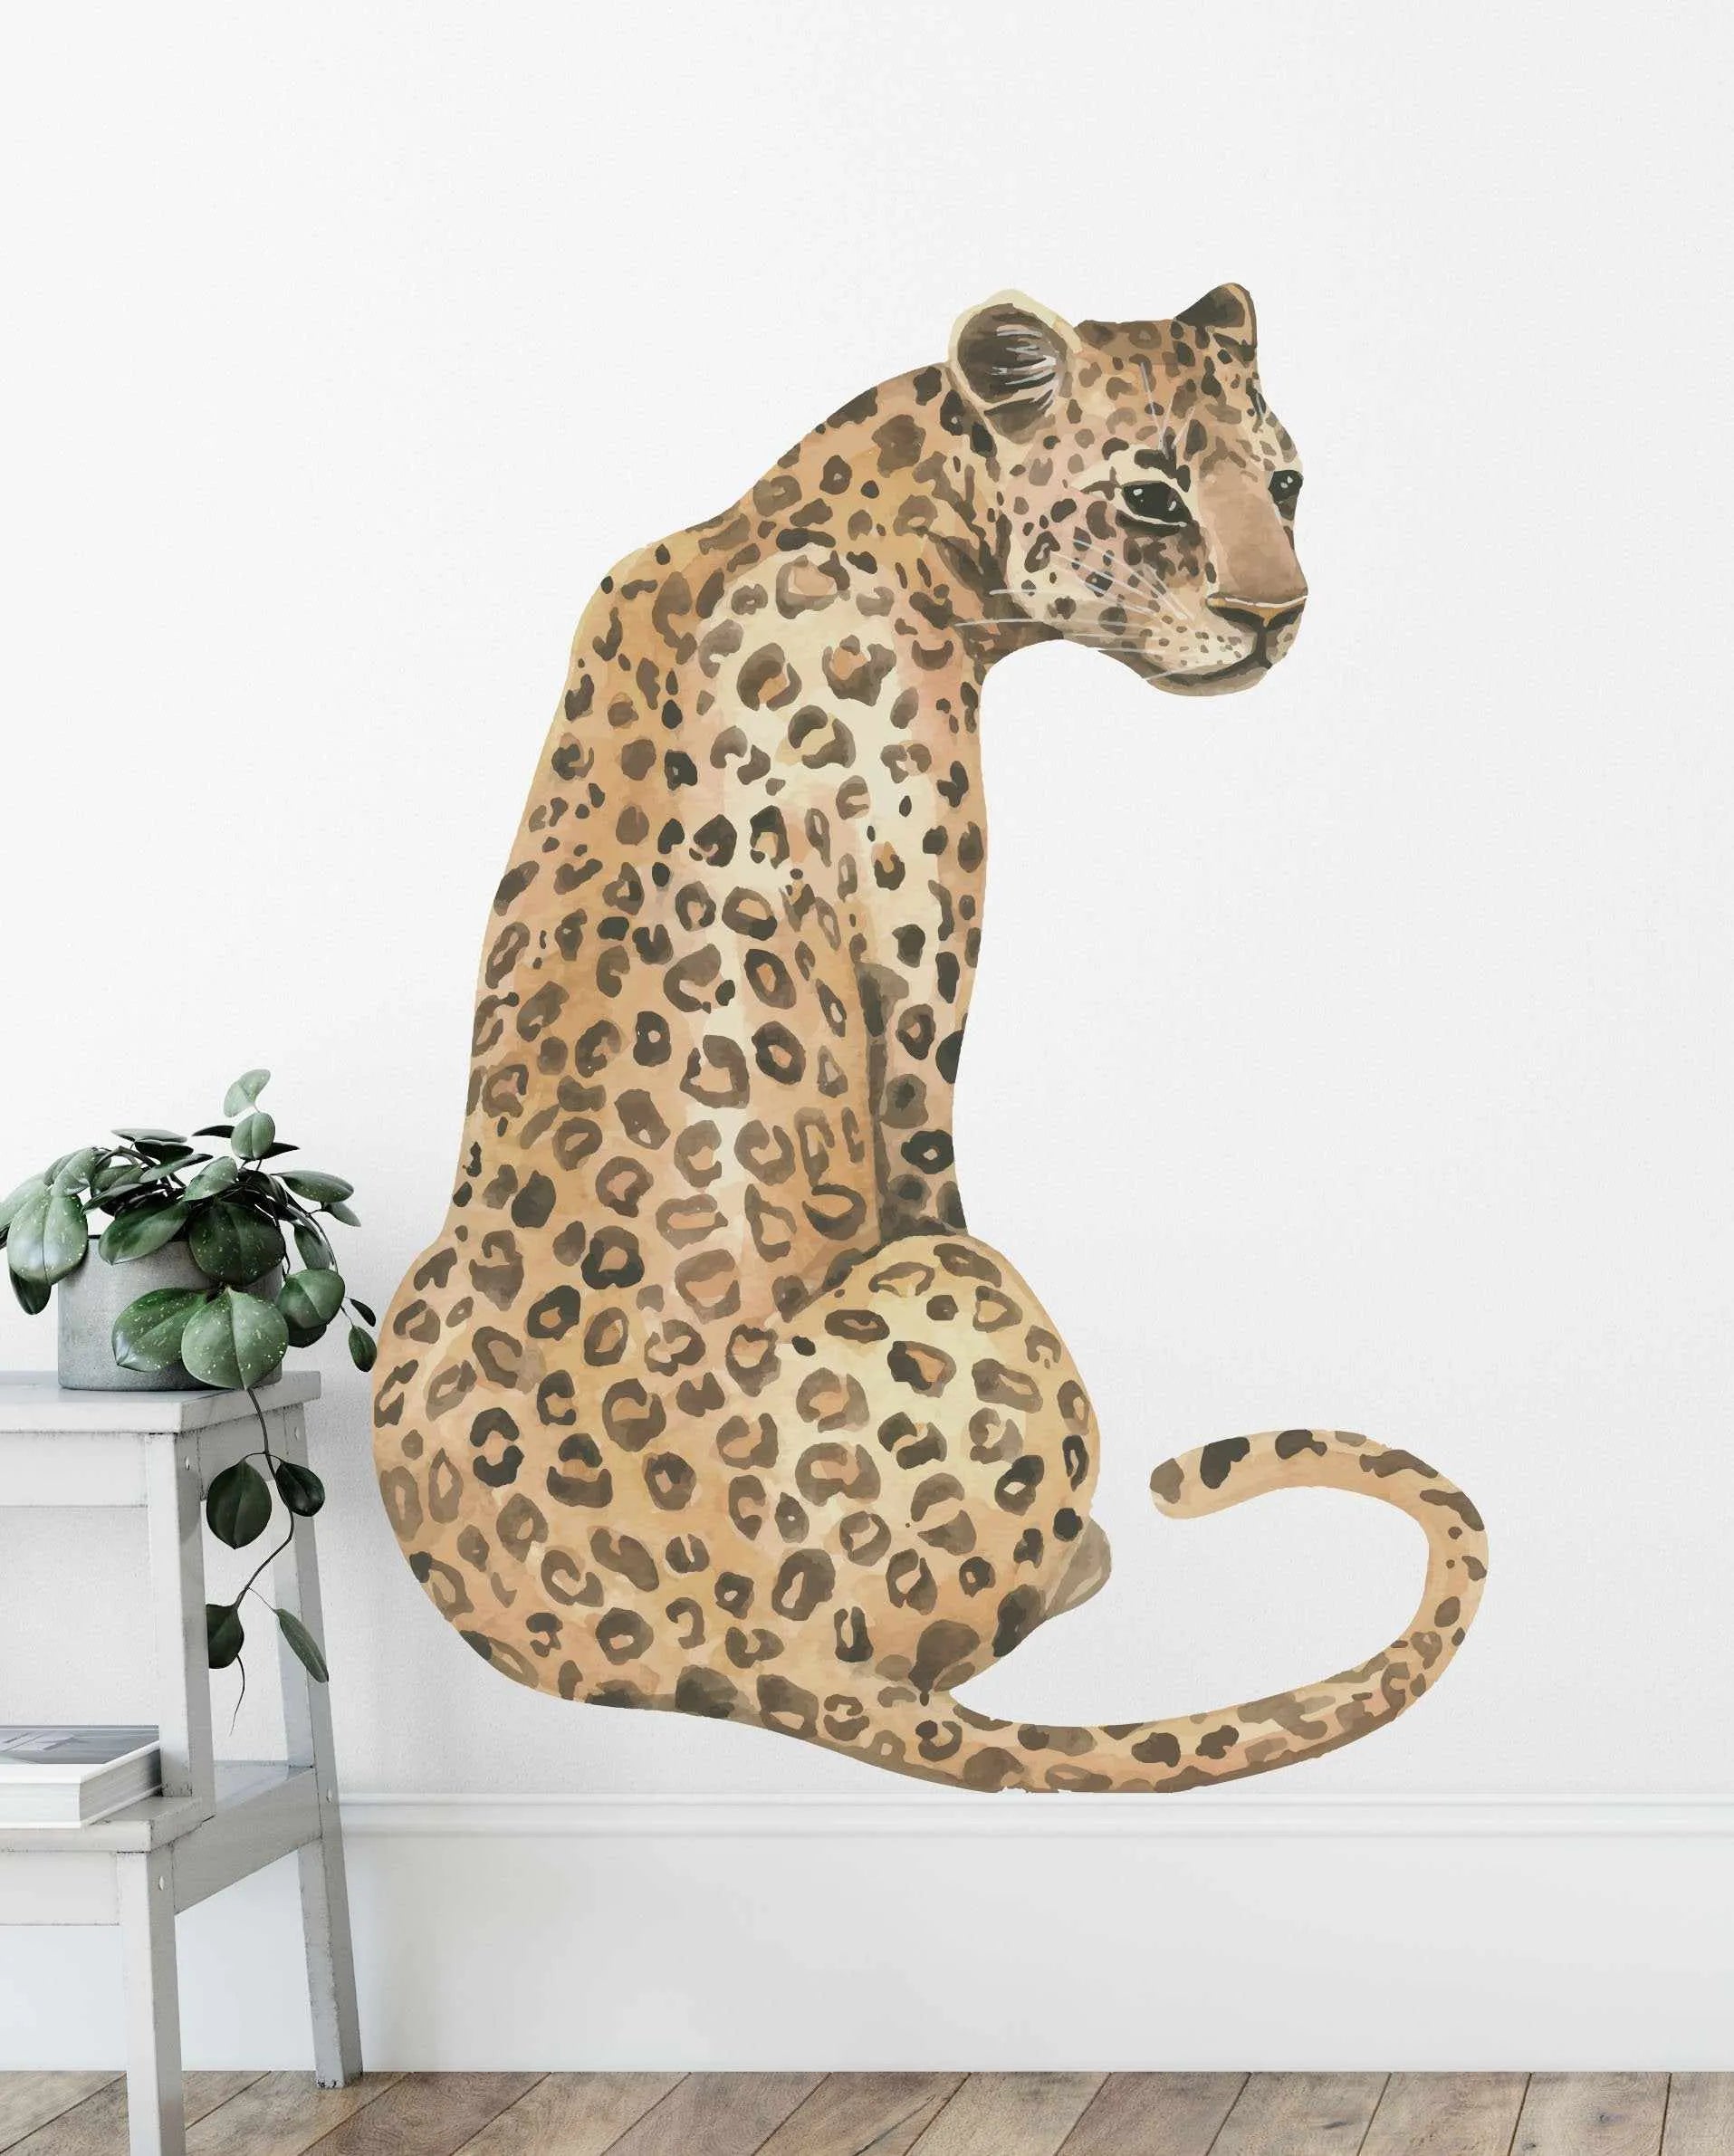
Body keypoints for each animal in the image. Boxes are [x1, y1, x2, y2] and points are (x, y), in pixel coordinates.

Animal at [373, 283, 1487, 1791]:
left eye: (1286, 485)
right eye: (1149, 495)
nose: (1277, 614)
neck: (843, 502)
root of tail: (734, 1655)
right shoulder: (913, 991)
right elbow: (922, 1154)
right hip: (976, 1281)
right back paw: (1079, 1556)